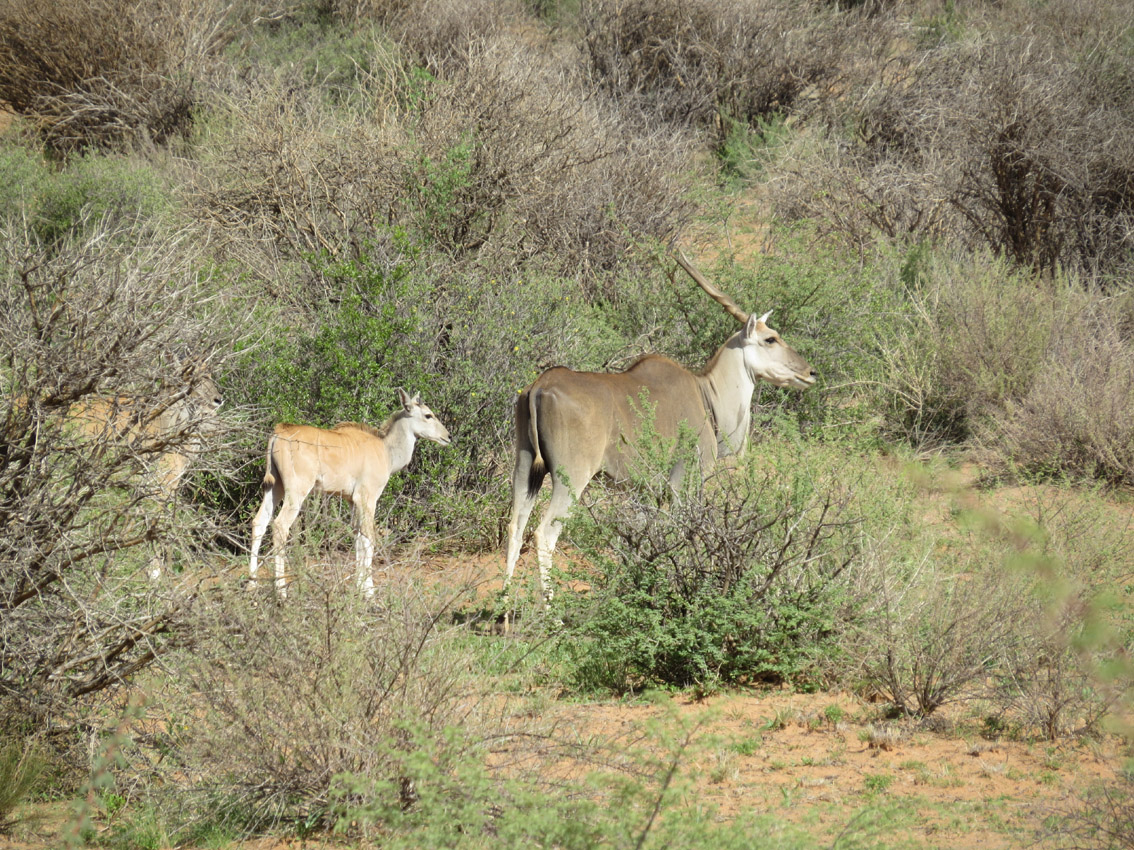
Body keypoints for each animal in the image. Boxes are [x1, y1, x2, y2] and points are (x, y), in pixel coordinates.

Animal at [249, 392, 451, 598]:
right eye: (428, 415)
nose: (448, 436)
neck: (385, 449)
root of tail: (279, 432)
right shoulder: (367, 497)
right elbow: (369, 537)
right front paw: (369, 590)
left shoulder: (353, 501)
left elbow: (358, 536)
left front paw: (359, 586)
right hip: (297, 490)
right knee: (280, 525)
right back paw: (281, 590)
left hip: (275, 487)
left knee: (259, 522)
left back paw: (252, 585)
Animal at [505, 252, 816, 607]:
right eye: (770, 338)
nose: (810, 372)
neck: (705, 392)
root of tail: (540, 387)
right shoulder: (685, 482)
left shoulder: (645, 491)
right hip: (571, 478)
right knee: (544, 533)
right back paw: (551, 612)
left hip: (526, 468)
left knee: (515, 527)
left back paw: (503, 607)